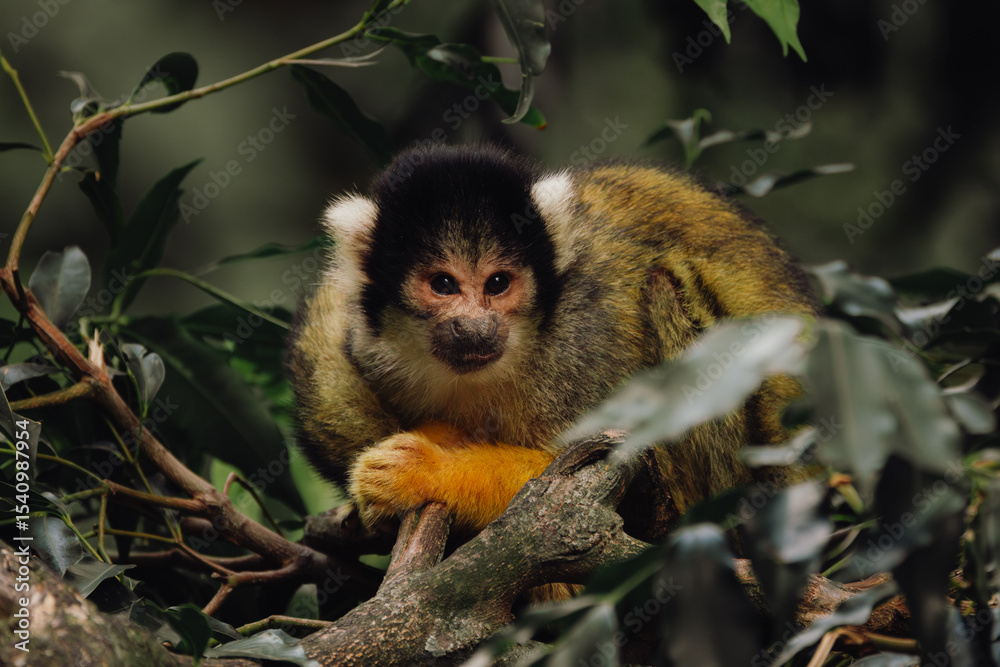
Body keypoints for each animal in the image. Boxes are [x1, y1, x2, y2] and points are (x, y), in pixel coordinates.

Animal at [286, 143, 817, 537]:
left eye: (498, 284)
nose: (476, 327)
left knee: (665, 287)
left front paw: (426, 469)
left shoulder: (589, 340)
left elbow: (589, 485)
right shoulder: (368, 343)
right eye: (443, 285)